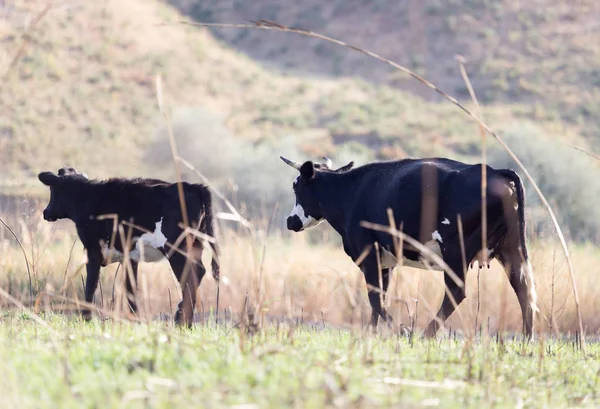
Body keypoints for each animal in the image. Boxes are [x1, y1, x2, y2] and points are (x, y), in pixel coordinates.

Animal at [38, 166, 220, 326]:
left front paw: (86, 318)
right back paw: (184, 321)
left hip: (177, 249)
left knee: (190, 277)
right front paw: (135, 320)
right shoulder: (130, 256)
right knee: (199, 273)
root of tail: (194, 187)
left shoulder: (93, 250)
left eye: (52, 191)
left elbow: (91, 284)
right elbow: (131, 289)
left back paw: (181, 320)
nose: (45, 212)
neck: (88, 198)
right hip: (195, 245)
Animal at [282, 155, 540, 336]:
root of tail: (496, 172)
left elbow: (375, 298)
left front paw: (401, 330)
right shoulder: (386, 262)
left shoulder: (369, 254)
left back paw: (426, 334)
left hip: (455, 251)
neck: (351, 193)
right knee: (524, 288)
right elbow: (378, 299)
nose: (290, 221)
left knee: (456, 292)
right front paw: (371, 334)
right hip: (512, 248)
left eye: (296, 186)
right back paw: (527, 339)